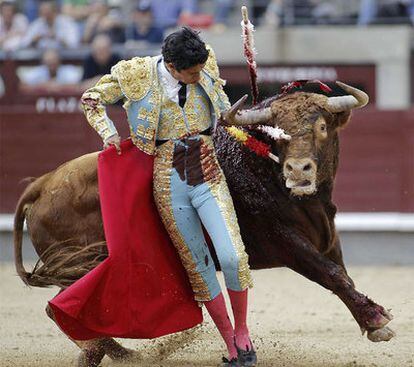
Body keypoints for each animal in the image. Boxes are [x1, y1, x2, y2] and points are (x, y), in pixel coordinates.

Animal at [12, 81, 394, 367]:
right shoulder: (285, 241)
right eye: (276, 134)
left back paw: (118, 353)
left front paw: (372, 319)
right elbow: (331, 274)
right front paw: (376, 320)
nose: (298, 170)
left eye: (322, 127)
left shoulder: (327, 237)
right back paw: (105, 352)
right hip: (84, 262)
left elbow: (342, 275)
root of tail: (42, 183)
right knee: (61, 305)